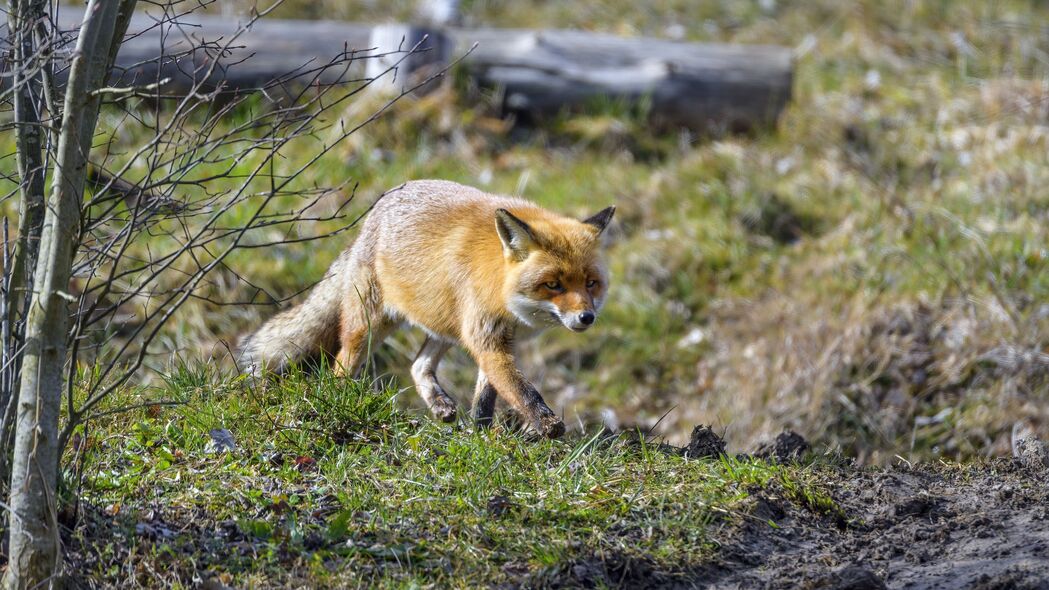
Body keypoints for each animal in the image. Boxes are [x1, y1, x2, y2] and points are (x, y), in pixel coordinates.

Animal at [240, 179, 612, 436]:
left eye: (590, 283)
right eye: (554, 284)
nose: (587, 317)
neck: (497, 278)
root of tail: (375, 212)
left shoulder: (497, 338)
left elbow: (486, 397)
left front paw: (480, 434)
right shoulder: (487, 339)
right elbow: (522, 390)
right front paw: (547, 425)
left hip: (445, 325)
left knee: (417, 365)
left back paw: (439, 404)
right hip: (370, 324)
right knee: (341, 366)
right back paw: (341, 401)